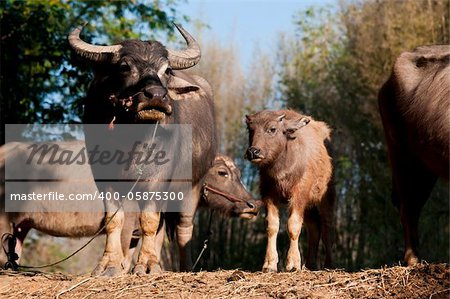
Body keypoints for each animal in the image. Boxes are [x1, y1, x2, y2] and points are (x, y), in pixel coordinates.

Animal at [67, 22, 217, 276]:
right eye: (124, 67)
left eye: (167, 70)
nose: (155, 96)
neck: (131, 140)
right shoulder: (104, 178)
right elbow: (114, 220)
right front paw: (110, 264)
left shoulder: (158, 179)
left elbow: (148, 220)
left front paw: (147, 264)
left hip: (193, 186)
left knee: (183, 227)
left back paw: (183, 267)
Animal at [246, 109, 334, 272]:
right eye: (250, 129)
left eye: (272, 129)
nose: (253, 152)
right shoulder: (269, 195)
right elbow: (272, 226)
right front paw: (269, 264)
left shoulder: (299, 194)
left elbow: (293, 225)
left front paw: (293, 264)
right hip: (308, 206)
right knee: (314, 228)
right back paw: (310, 264)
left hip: (327, 197)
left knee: (327, 228)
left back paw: (329, 265)